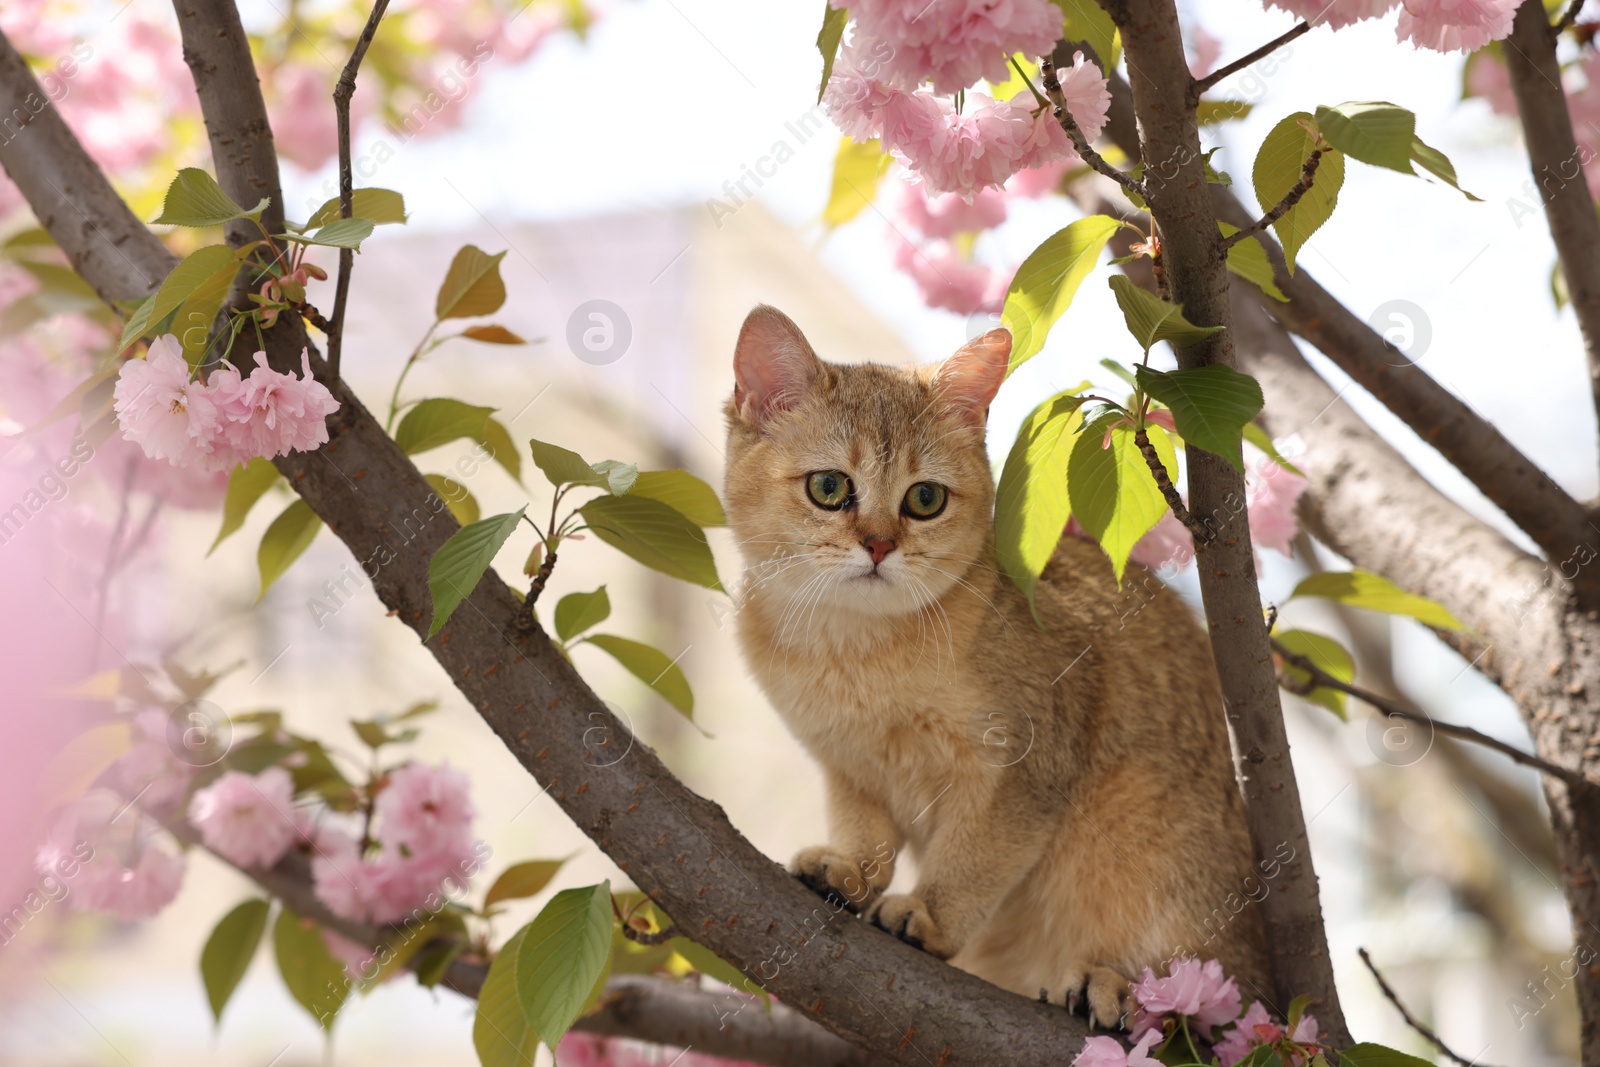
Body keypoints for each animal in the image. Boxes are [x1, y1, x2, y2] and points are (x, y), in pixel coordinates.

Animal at [726, 302, 1273, 1023]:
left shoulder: (1028, 763)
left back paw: (1116, 986)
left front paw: (928, 914)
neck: (854, 653)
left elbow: (976, 857)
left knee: (1205, 984)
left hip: (1159, 845)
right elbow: (867, 835)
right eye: (828, 487)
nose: (878, 544)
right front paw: (848, 872)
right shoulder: (849, 765)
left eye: (925, 499)